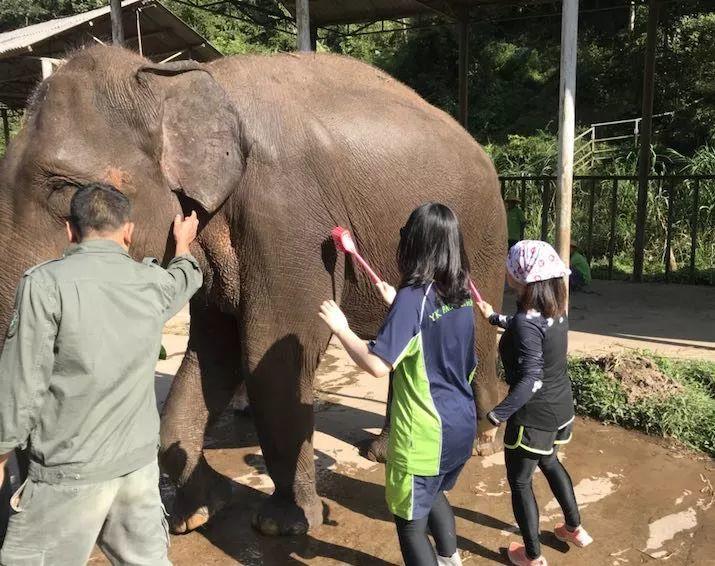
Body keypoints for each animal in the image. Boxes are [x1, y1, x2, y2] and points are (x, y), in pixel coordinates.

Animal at [0, 46, 506, 540]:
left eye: (63, 189)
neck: (172, 79)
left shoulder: (288, 214)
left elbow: (272, 350)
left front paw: (282, 524)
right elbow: (215, 351)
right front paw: (199, 513)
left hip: (482, 235)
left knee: (480, 327)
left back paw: (483, 439)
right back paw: (383, 452)